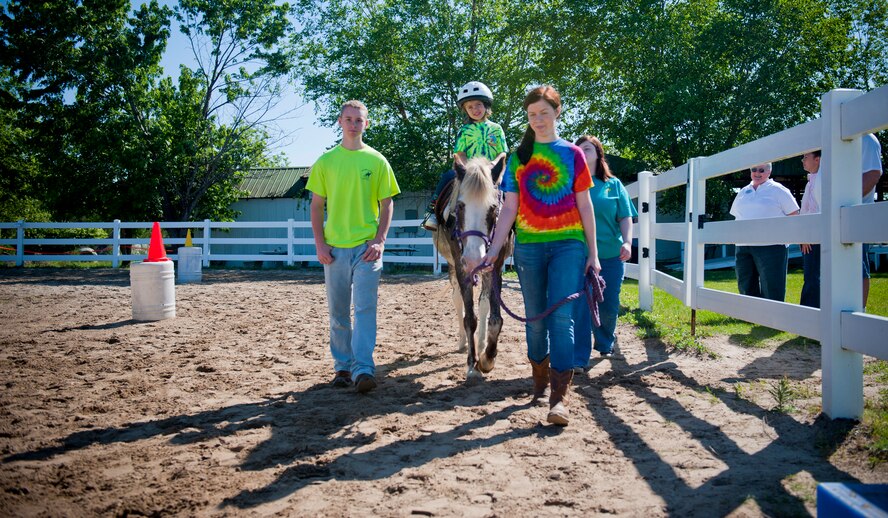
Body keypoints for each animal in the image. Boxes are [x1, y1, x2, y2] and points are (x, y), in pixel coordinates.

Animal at [433, 154, 513, 379]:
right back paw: (463, 342)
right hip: (453, 267)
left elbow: (495, 318)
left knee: (483, 302)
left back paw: (482, 343)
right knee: (457, 300)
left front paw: (487, 358)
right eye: (460, 206)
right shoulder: (461, 268)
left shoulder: (495, 266)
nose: (474, 260)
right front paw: (472, 364)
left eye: (493, 208)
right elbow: (469, 318)